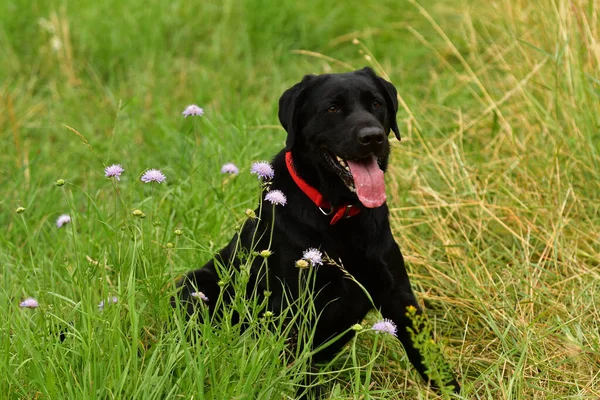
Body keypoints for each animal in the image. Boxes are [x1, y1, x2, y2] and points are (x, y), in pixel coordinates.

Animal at [173, 67, 460, 396]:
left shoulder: (398, 293)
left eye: (376, 104)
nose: (372, 136)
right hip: (196, 285)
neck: (339, 214)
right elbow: (300, 369)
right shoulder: (296, 306)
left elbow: (428, 355)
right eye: (332, 108)